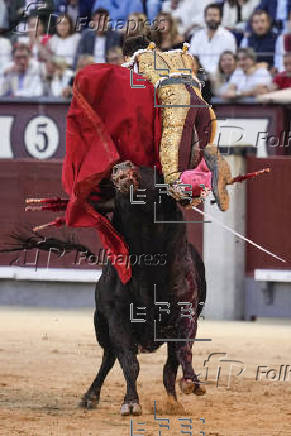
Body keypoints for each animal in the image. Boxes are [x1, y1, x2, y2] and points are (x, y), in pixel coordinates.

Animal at [81, 166, 206, 416]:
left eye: (157, 176)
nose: (122, 168)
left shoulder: (186, 312)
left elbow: (183, 350)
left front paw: (191, 382)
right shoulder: (117, 318)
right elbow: (129, 362)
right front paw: (131, 403)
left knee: (170, 364)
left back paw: (174, 402)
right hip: (101, 326)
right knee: (108, 358)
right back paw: (91, 396)